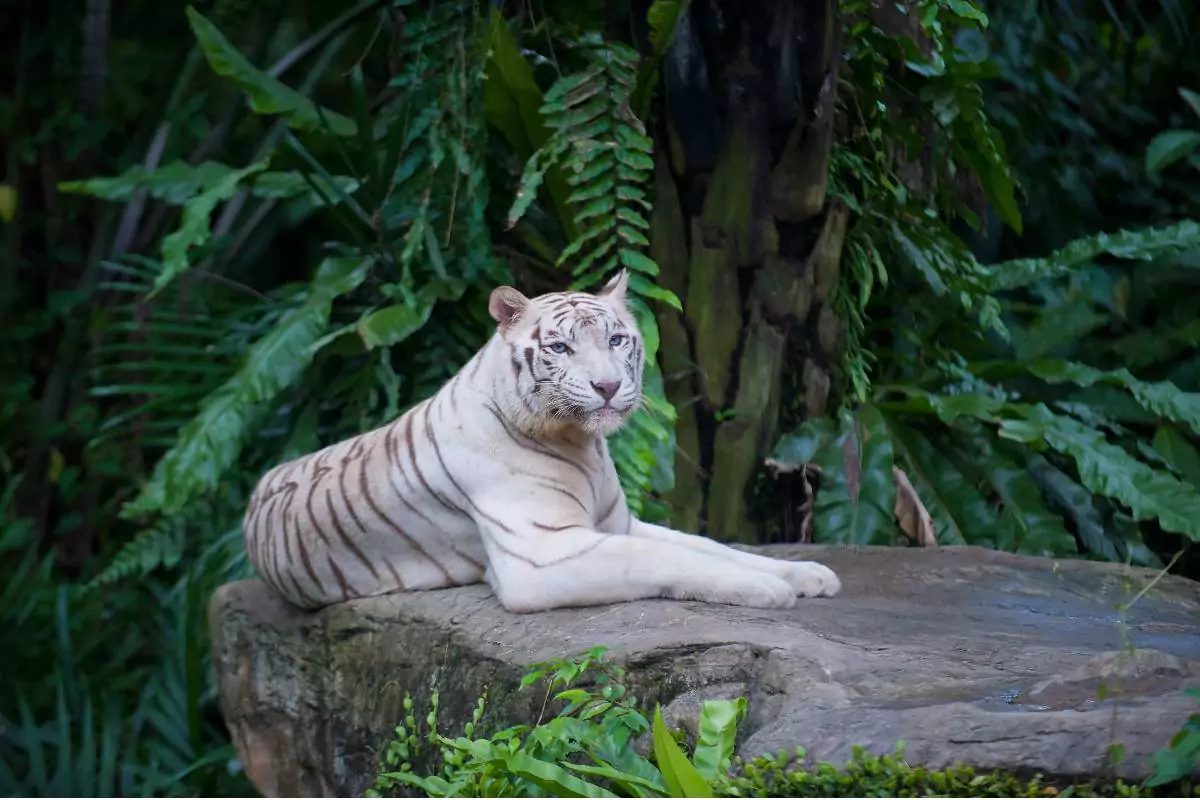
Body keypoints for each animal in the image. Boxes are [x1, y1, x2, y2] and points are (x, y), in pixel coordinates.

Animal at [242, 270, 842, 614]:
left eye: (617, 339)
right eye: (559, 347)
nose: (608, 386)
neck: (583, 445)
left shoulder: (619, 525)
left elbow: (709, 545)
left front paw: (808, 574)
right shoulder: (543, 553)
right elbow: (666, 559)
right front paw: (765, 589)